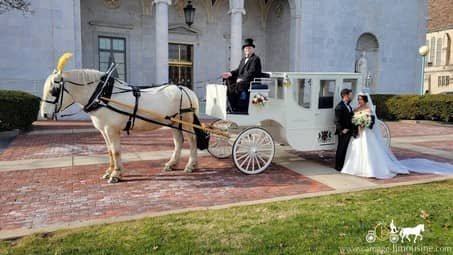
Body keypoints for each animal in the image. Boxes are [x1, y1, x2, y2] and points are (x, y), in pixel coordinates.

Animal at [40, 53, 200, 183]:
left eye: (54, 90)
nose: (44, 114)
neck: (103, 95)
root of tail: (185, 89)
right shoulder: (103, 130)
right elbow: (110, 150)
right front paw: (109, 171)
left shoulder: (112, 129)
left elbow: (116, 151)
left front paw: (116, 174)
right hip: (174, 122)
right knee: (178, 141)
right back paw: (172, 164)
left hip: (186, 121)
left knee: (192, 140)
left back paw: (191, 165)